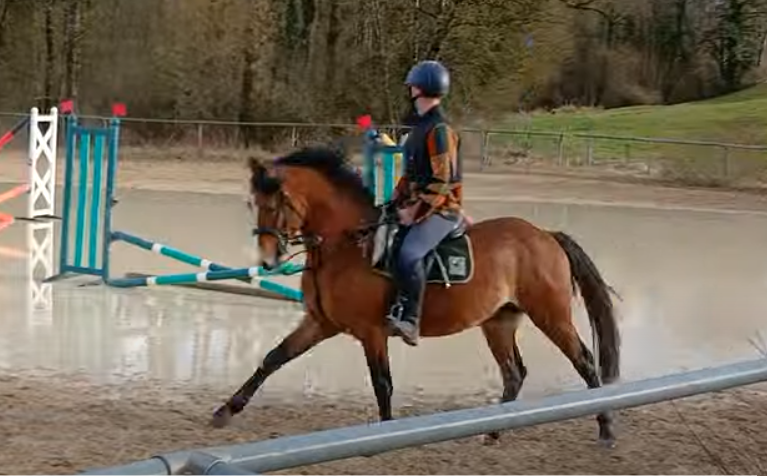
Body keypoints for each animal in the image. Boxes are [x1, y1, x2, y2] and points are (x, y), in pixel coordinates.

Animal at [210, 146, 622, 446]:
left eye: (278, 202)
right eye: (252, 203)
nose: (268, 259)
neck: (345, 245)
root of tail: (546, 235)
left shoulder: (371, 331)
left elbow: (382, 383)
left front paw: (385, 434)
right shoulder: (320, 322)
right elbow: (273, 358)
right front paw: (226, 411)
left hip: (550, 315)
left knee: (584, 362)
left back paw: (605, 427)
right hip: (499, 321)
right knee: (514, 374)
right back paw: (492, 431)